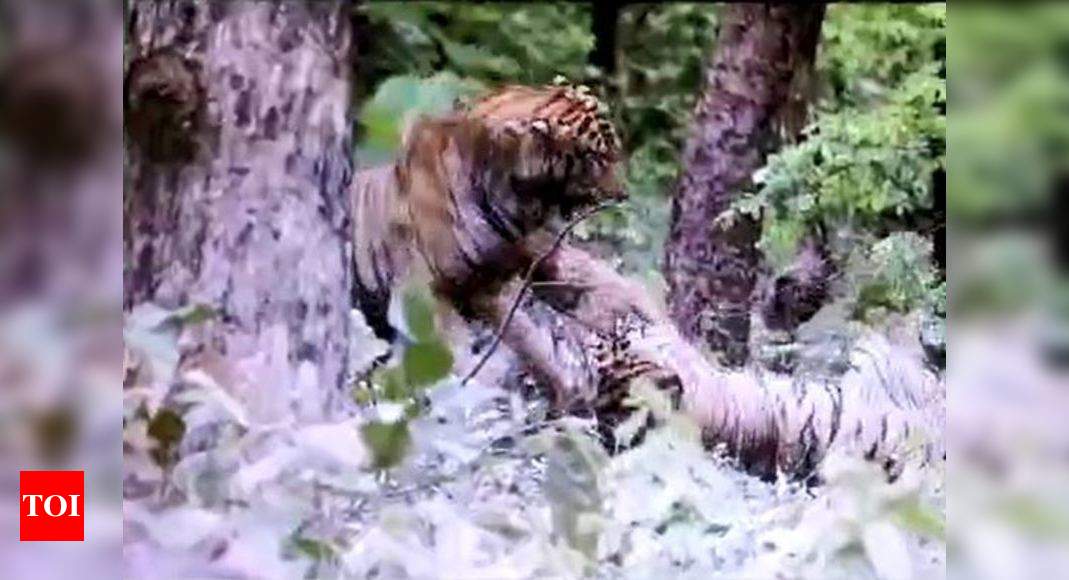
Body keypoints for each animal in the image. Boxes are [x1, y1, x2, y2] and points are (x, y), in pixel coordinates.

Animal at [350, 80, 628, 399]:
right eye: (596, 158)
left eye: (614, 149)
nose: (623, 194)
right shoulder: (432, 293)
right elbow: (456, 352)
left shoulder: (493, 281)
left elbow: (528, 336)